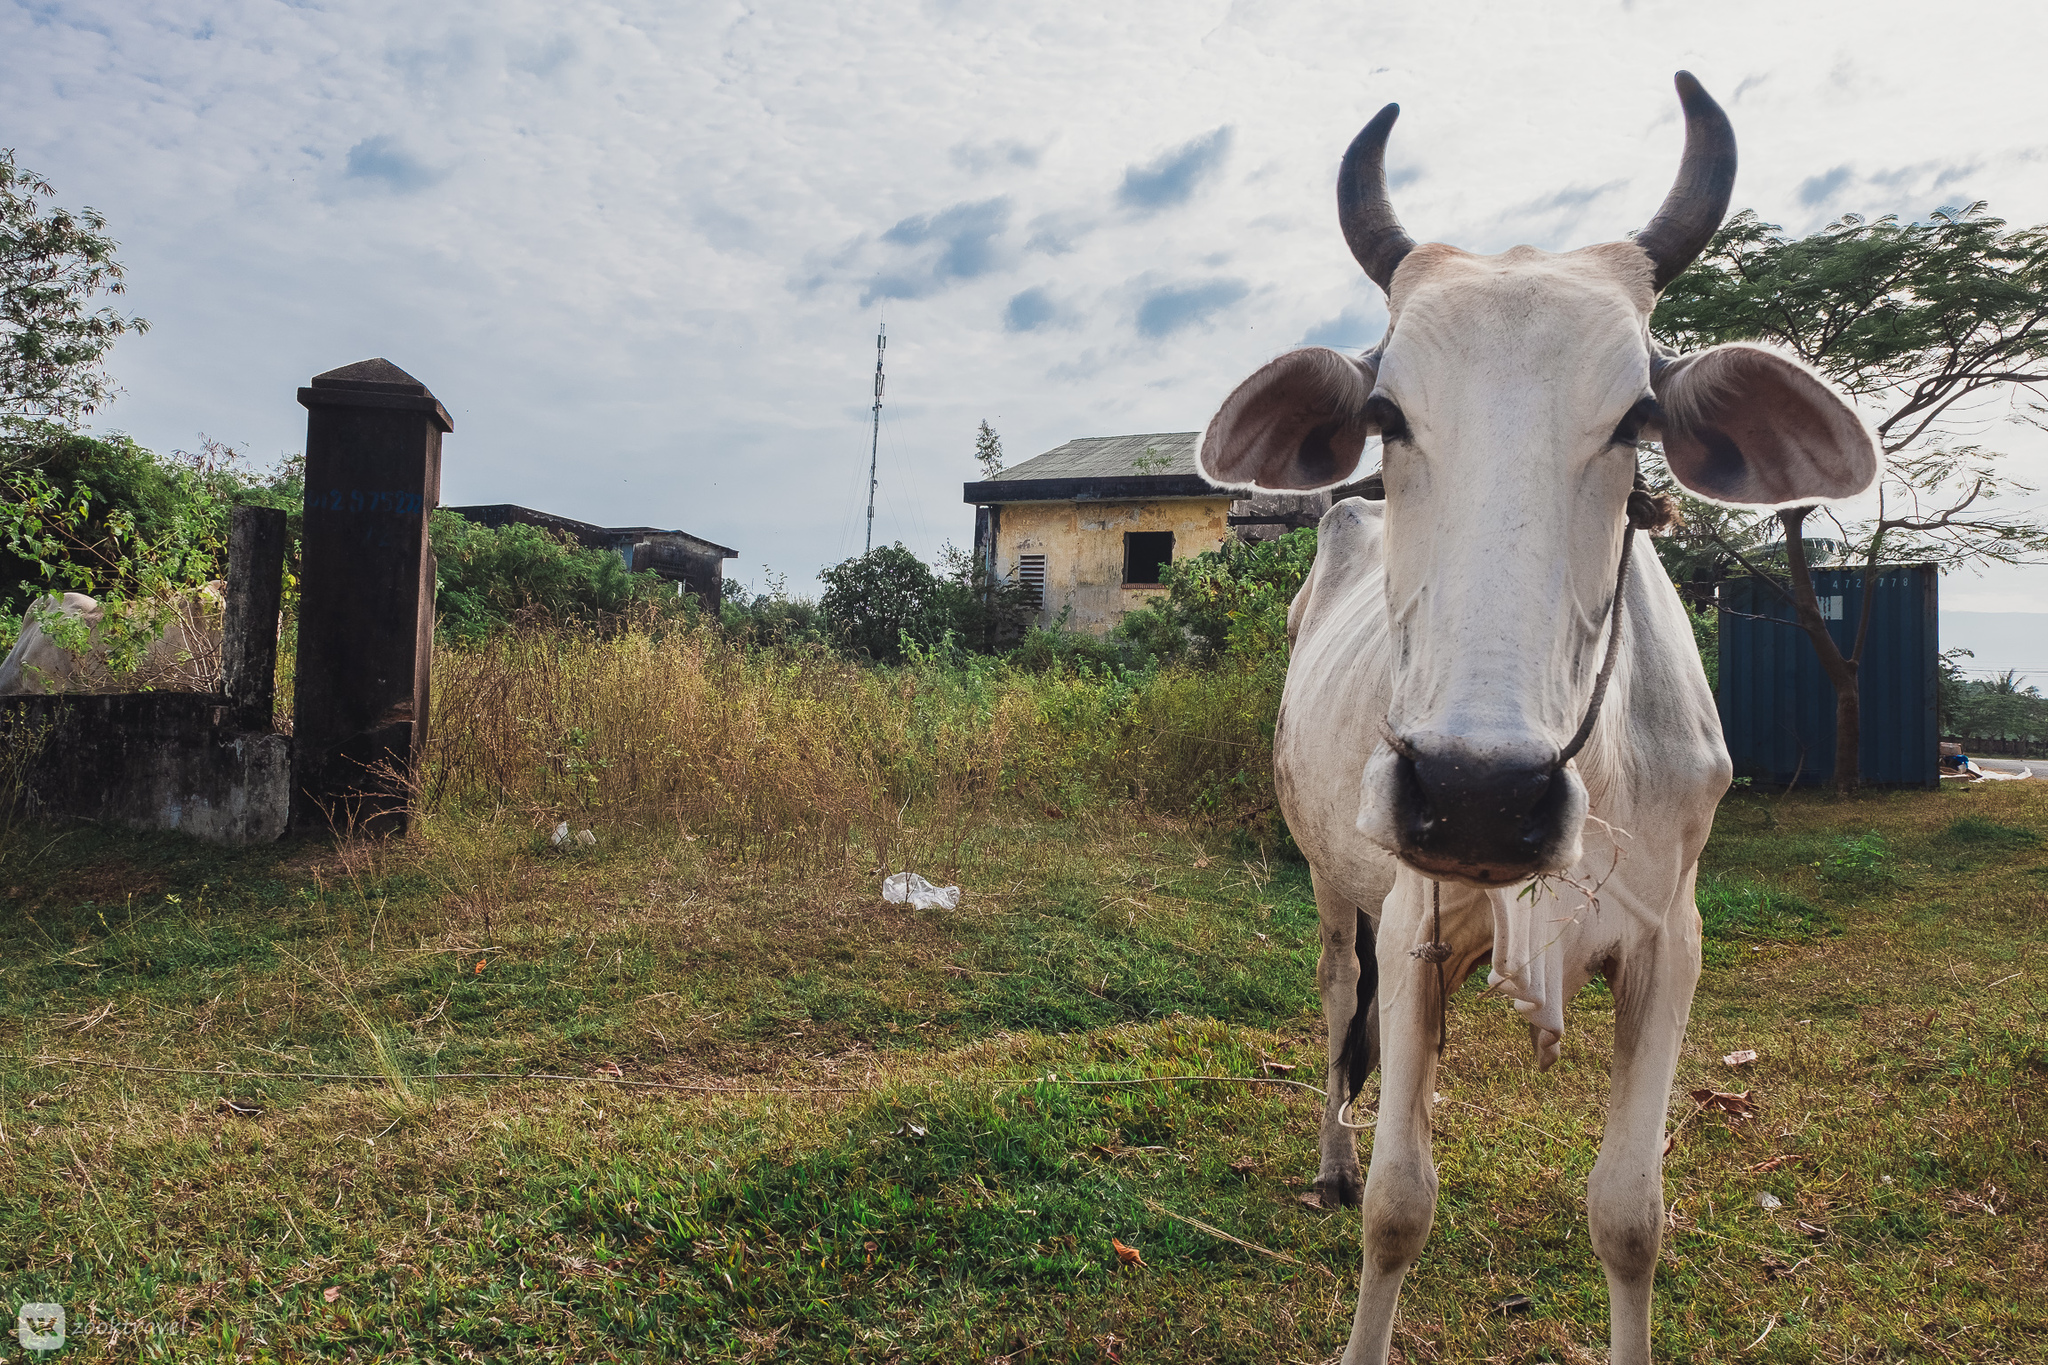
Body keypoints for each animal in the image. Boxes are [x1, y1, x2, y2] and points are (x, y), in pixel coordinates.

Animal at [1196, 74, 1875, 1365]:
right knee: (1336, 1007)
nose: (1477, 794)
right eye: (1386, 415)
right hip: (1331, 884)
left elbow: (1629, 1217)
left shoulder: (1670, 944)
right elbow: (1400, 1207)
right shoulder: (1409, 920)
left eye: (1635, 420)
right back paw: (1331, 1160)